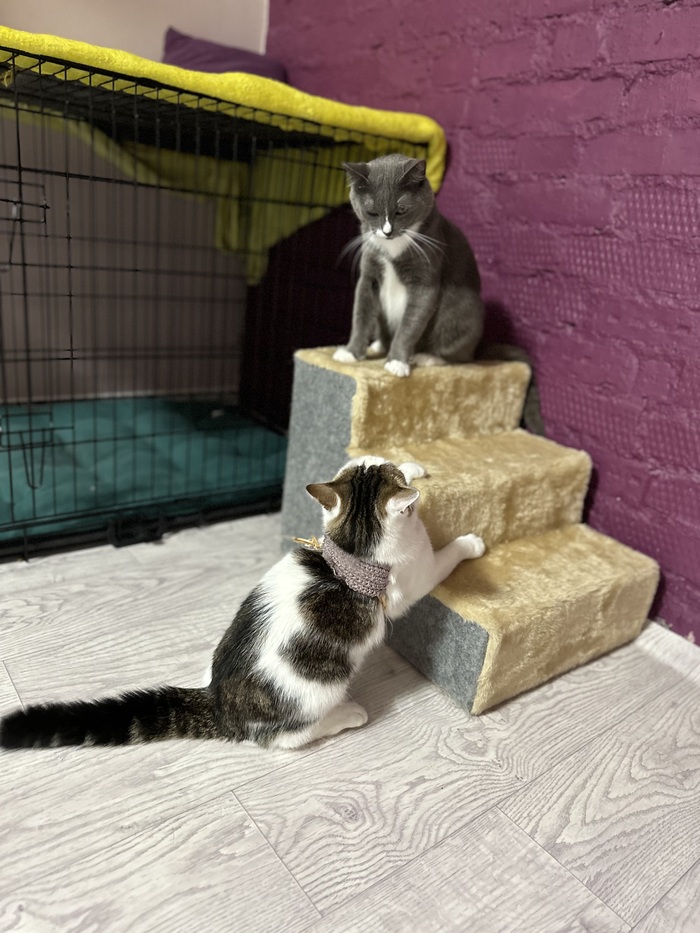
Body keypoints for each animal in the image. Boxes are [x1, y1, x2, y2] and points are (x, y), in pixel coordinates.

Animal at [0, 456, 485, 752]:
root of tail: (218, 701)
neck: (351, 546)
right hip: (316, 690)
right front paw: (469, 543)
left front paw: (410, 464)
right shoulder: (413, 575)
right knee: (281, 740)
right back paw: (347, 715)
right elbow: (440, 563)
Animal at [333, 153, 484, 378]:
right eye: (372, 212)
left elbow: (410, 324)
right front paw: (350, 353)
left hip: (462, 309)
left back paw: (427, 357)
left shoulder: (426, 277)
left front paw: (397, 363)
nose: (387, 231)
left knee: (460, 354)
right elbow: (361, 314)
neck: (393, 247)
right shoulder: (369, 274)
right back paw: (378, 345)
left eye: (401, 211)